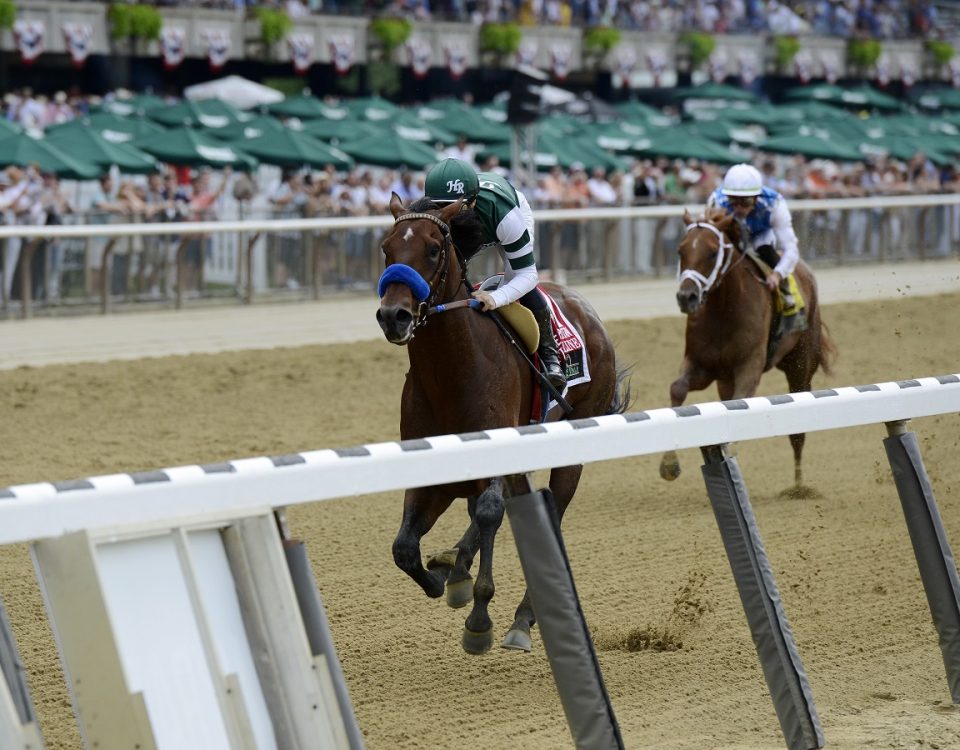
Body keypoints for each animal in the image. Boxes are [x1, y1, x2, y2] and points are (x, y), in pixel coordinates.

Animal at [378, 195, 632, 656]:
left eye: (433, 249)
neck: (452, 373)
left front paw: (480, 620)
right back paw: (455, 566)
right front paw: (441, 577)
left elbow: (490, 513)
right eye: (387, 248)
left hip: (570, 447)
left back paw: (522, 618)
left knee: (551, 510)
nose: (394, 316)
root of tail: (587, 310)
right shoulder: (435, 471)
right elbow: (404, 547)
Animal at [660, 209, 832, 496]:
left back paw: (798, 486)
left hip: (801, 364)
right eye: (680, 250)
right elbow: (678, 388)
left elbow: (740, 402)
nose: (687, 297)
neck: (723, 311)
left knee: (798, 431)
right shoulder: (701, 365)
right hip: (724, 379)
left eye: (711, 252)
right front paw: (669, 464)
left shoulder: (749, 367)